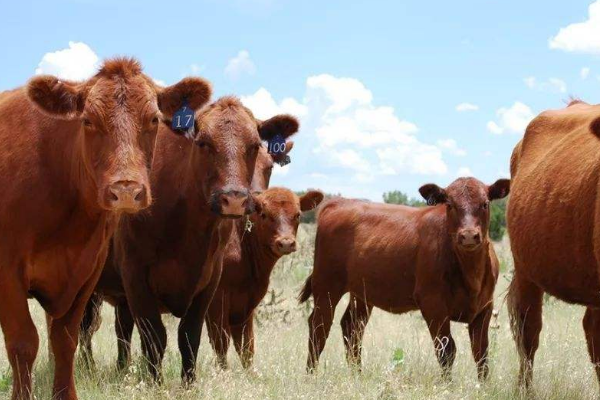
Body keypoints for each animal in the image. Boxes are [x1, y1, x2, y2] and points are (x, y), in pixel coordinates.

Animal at [0, 59, 212, 400]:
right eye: (87, 120)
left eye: (154, 119)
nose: (126, 190)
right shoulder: (8, 273)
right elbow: (23, 342)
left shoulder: (86, 272)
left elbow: (65, 340)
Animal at [77, 97, 300, 384]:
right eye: (203, 143)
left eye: (254, 147)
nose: (235, 199)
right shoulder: (136, 276)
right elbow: (155, 338)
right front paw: (155, 384)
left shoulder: (209, 282)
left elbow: (189, 337)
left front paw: (188, 384)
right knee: (84, 328)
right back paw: (87, 368)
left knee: (121, 329)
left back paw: (122, 369)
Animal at [205, 188, 324, 368]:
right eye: (264, 214)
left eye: (298, 215)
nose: (286, 243)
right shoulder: (216, 303)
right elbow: (221, 344)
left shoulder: (246, 306)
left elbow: (247, 347)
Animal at [298, 177, 508, 378]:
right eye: (449, 204)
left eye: (485, 204)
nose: (469, 236)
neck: (471, 273)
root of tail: (338, 203)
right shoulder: (433, 305)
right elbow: (447, 350)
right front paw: (448, 384)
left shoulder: (484, 307)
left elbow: (481, 353)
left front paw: (483, 385)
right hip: (326, 285)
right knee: (319, 327)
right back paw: (311, 375)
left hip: (361, 293)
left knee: (352, 327)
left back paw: (357, 375)